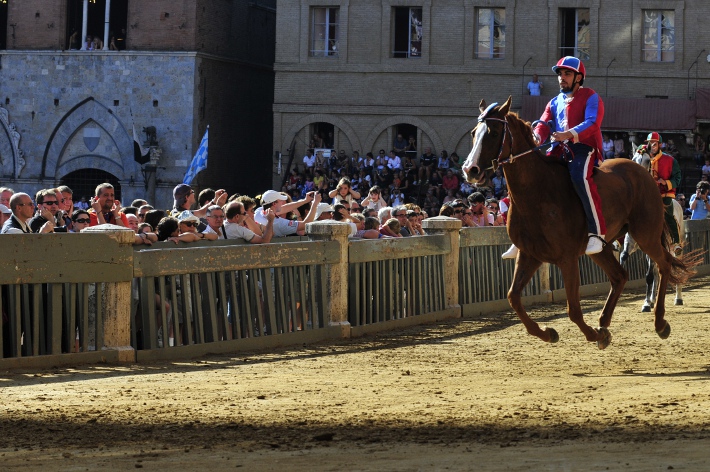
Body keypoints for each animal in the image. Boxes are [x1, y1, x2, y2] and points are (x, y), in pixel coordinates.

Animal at [462, 97, 700, 346]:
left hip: (646, 235)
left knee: (664, 264)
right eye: (474, 133)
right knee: (620, 276)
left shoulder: (567, 259)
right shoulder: (530, 255)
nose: (470, 169)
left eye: (494, 131)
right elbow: (513, 297)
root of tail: (643, 175)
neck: (538, 192)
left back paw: (659, 322)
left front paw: (592, 334)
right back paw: (604, 321)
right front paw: (548, 332)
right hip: (604, 246)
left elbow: (574, 310)